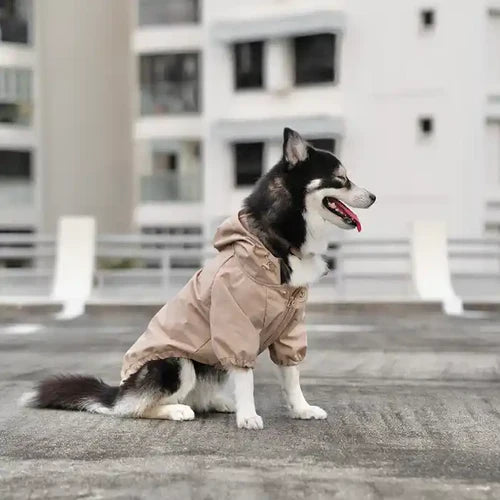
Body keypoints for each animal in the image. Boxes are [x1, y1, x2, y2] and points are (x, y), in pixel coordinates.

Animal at [21, 127, 376, 428]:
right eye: (341, 179)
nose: (373, 196)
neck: (275, 243)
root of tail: (119, 392)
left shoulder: (290, 330)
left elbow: (292, 375)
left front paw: (301, 409)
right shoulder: (235, 324)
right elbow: (246, 376)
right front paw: (249, 416)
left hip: (209, 367)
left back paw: (218, 403)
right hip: (176, 363)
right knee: (137, 409)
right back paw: (176, 410)